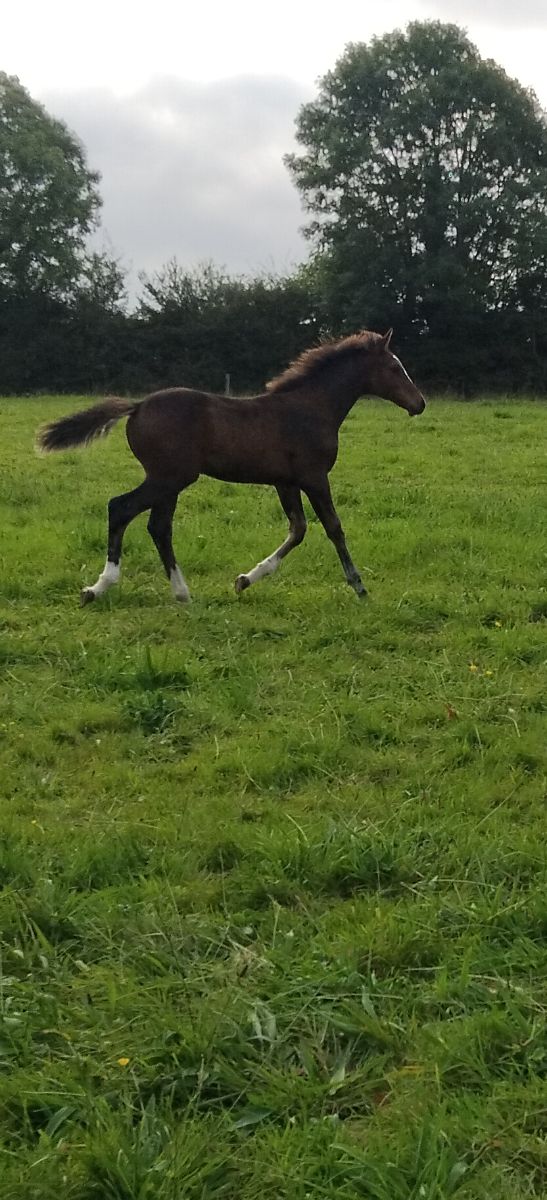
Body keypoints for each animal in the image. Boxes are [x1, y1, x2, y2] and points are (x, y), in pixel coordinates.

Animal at [37, 328, 425, 606]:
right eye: (395, 367)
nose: (419, 403)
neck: (311, 408)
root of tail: (138, 406)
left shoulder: (286, 482)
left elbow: (298, 530)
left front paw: (244, 580)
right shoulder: (314, 478)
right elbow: (334, 528)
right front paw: (358, 586)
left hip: (169, 481)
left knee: (157, 526)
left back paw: (180, 593)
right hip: (170, 477)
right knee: (121, 508)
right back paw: (99, 587)